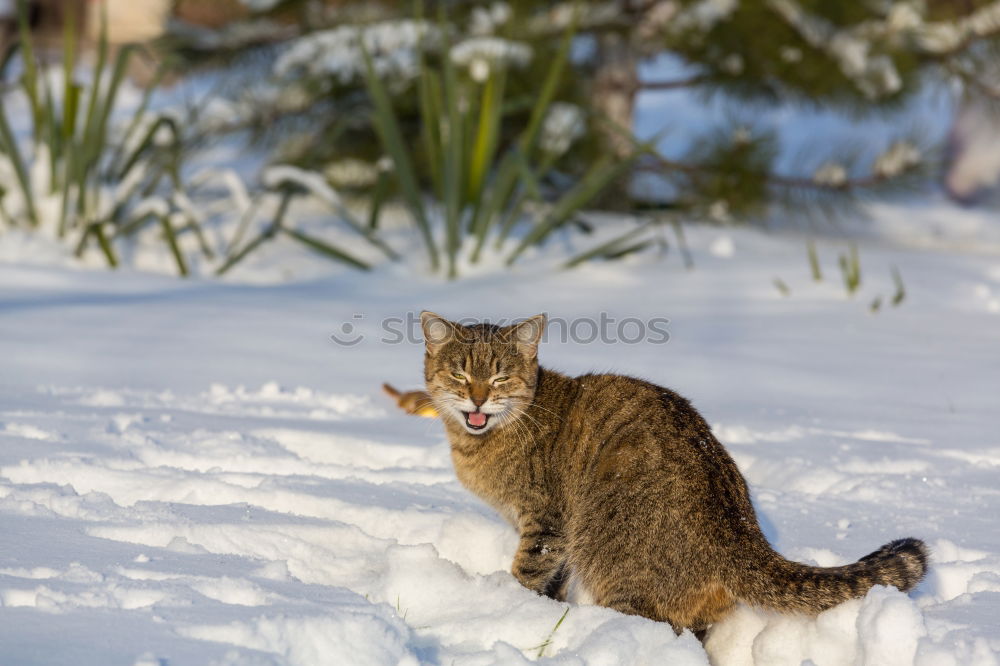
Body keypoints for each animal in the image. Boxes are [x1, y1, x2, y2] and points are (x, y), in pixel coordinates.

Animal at [416, 312, 928, 632]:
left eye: (500, 377)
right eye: (460, 374)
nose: (478, 397)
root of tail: (741, 532)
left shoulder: (546, 522)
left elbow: (528, 568)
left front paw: (508, 600)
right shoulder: (556, 538)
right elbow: (553, 581)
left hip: (613, 556)